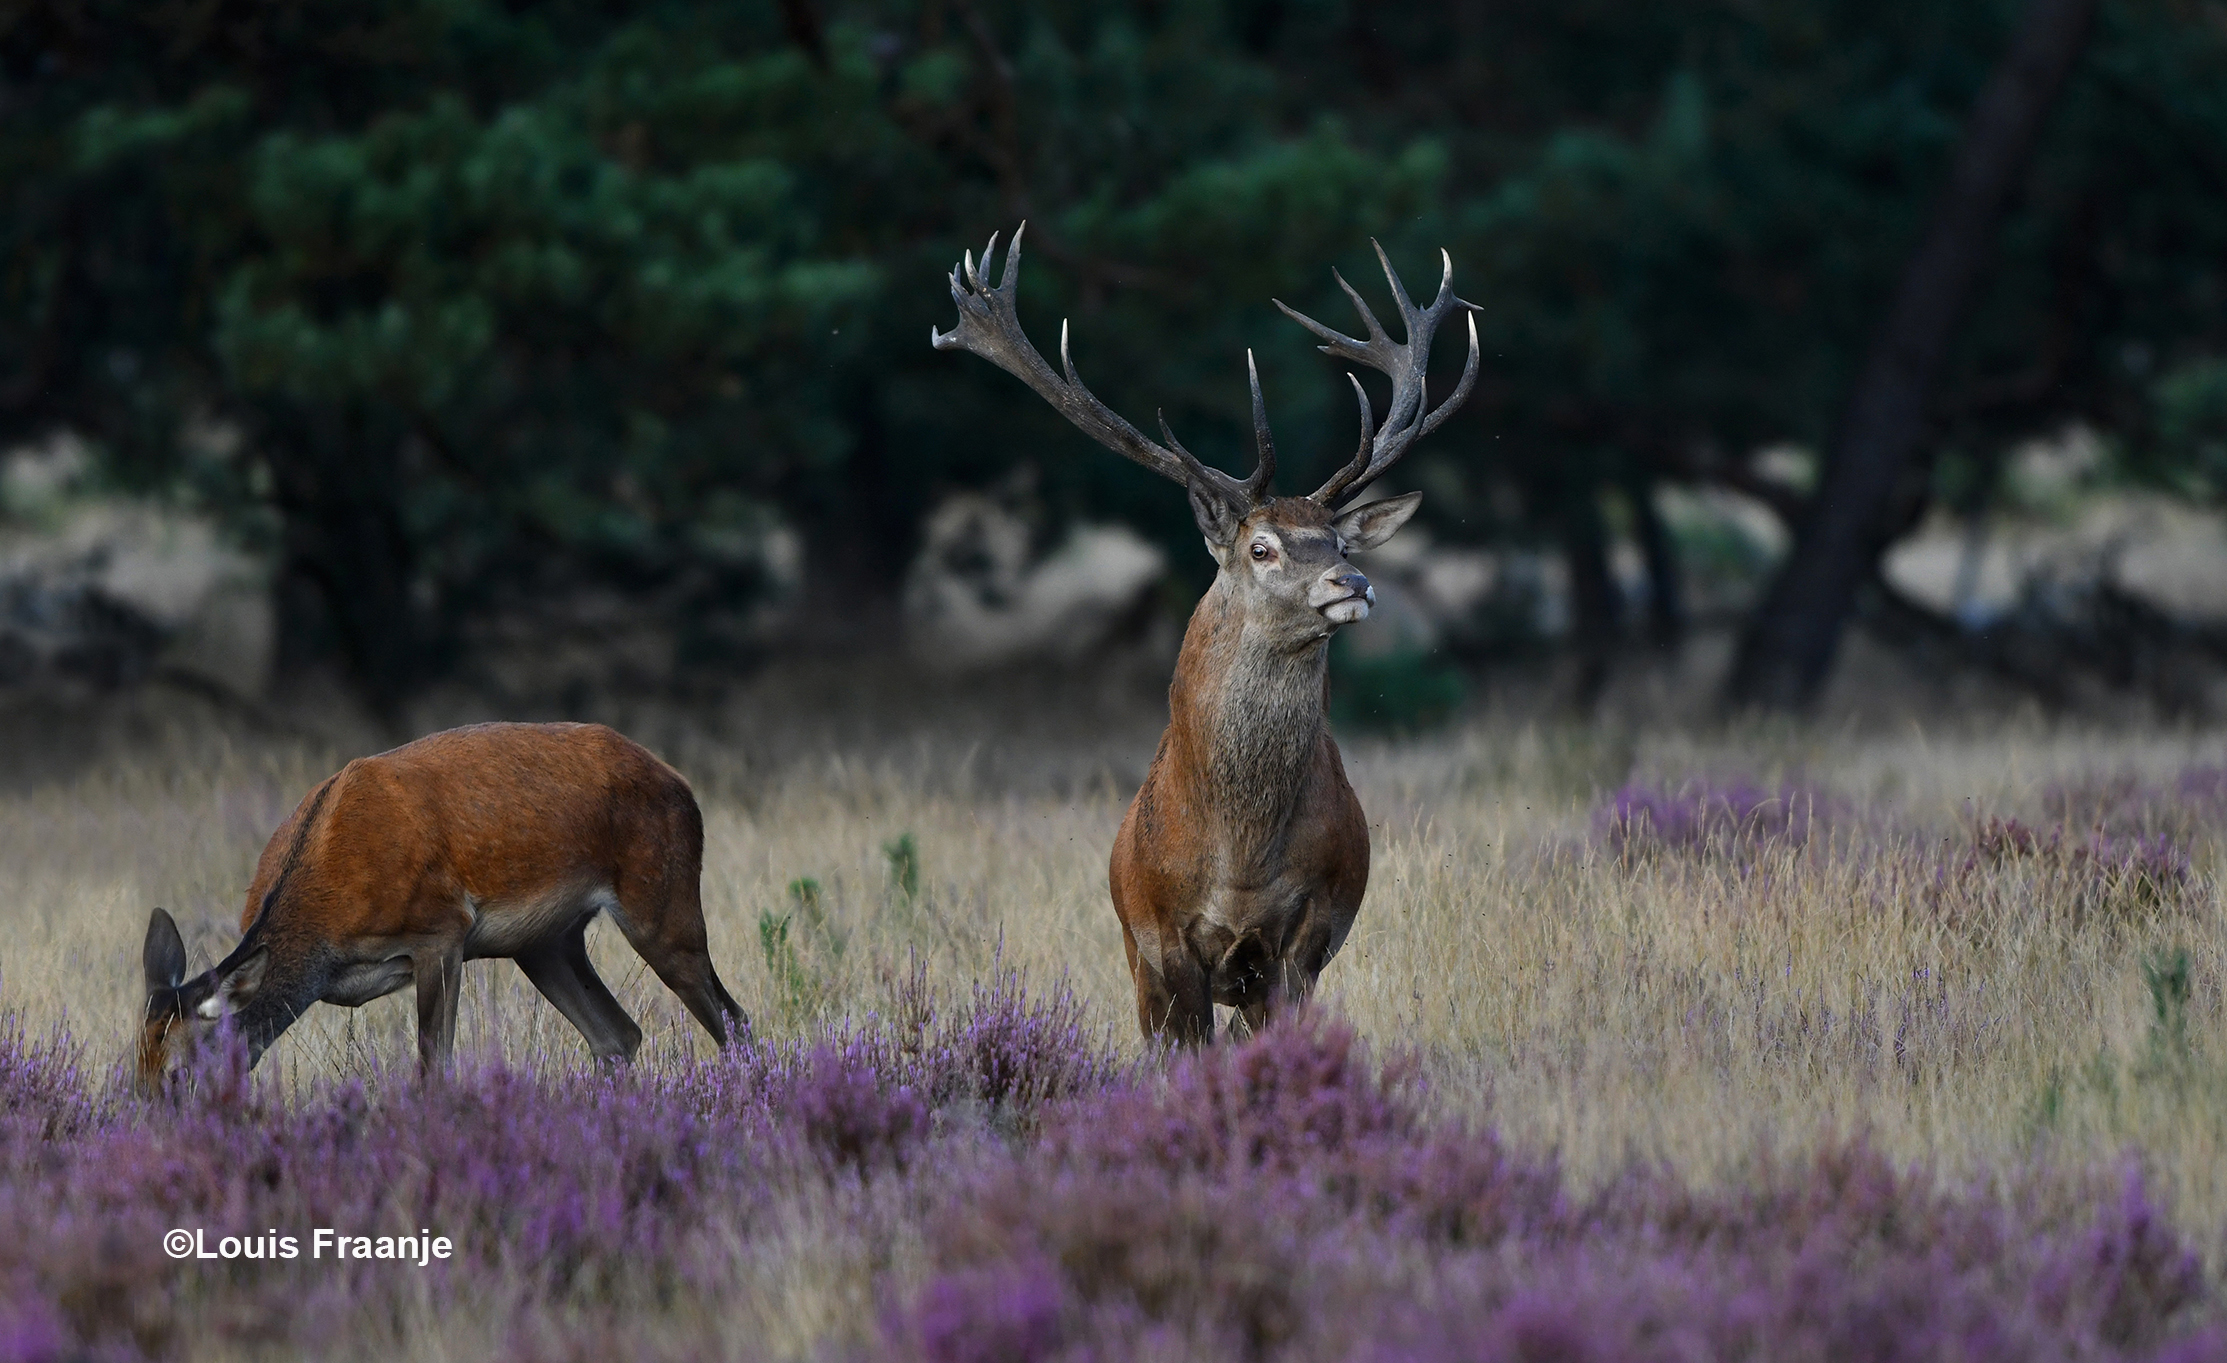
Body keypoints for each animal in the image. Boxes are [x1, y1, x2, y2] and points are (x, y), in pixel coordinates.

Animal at [139, 717, 748, 1091]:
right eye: (133, 1074)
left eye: (179, 1073)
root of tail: (683, 786)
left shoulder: (440, 932)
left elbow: (435, 1068)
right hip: (545, 943)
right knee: (619, 1036)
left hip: (661, 903)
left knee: (734, 1020)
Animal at [935, 226, 1478, 1042]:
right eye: (1262, 548)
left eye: (1338, 542)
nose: (1352, 584)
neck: (1239, 862)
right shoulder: (1161, 938)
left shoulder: (1307, 934)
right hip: (1131, 950)